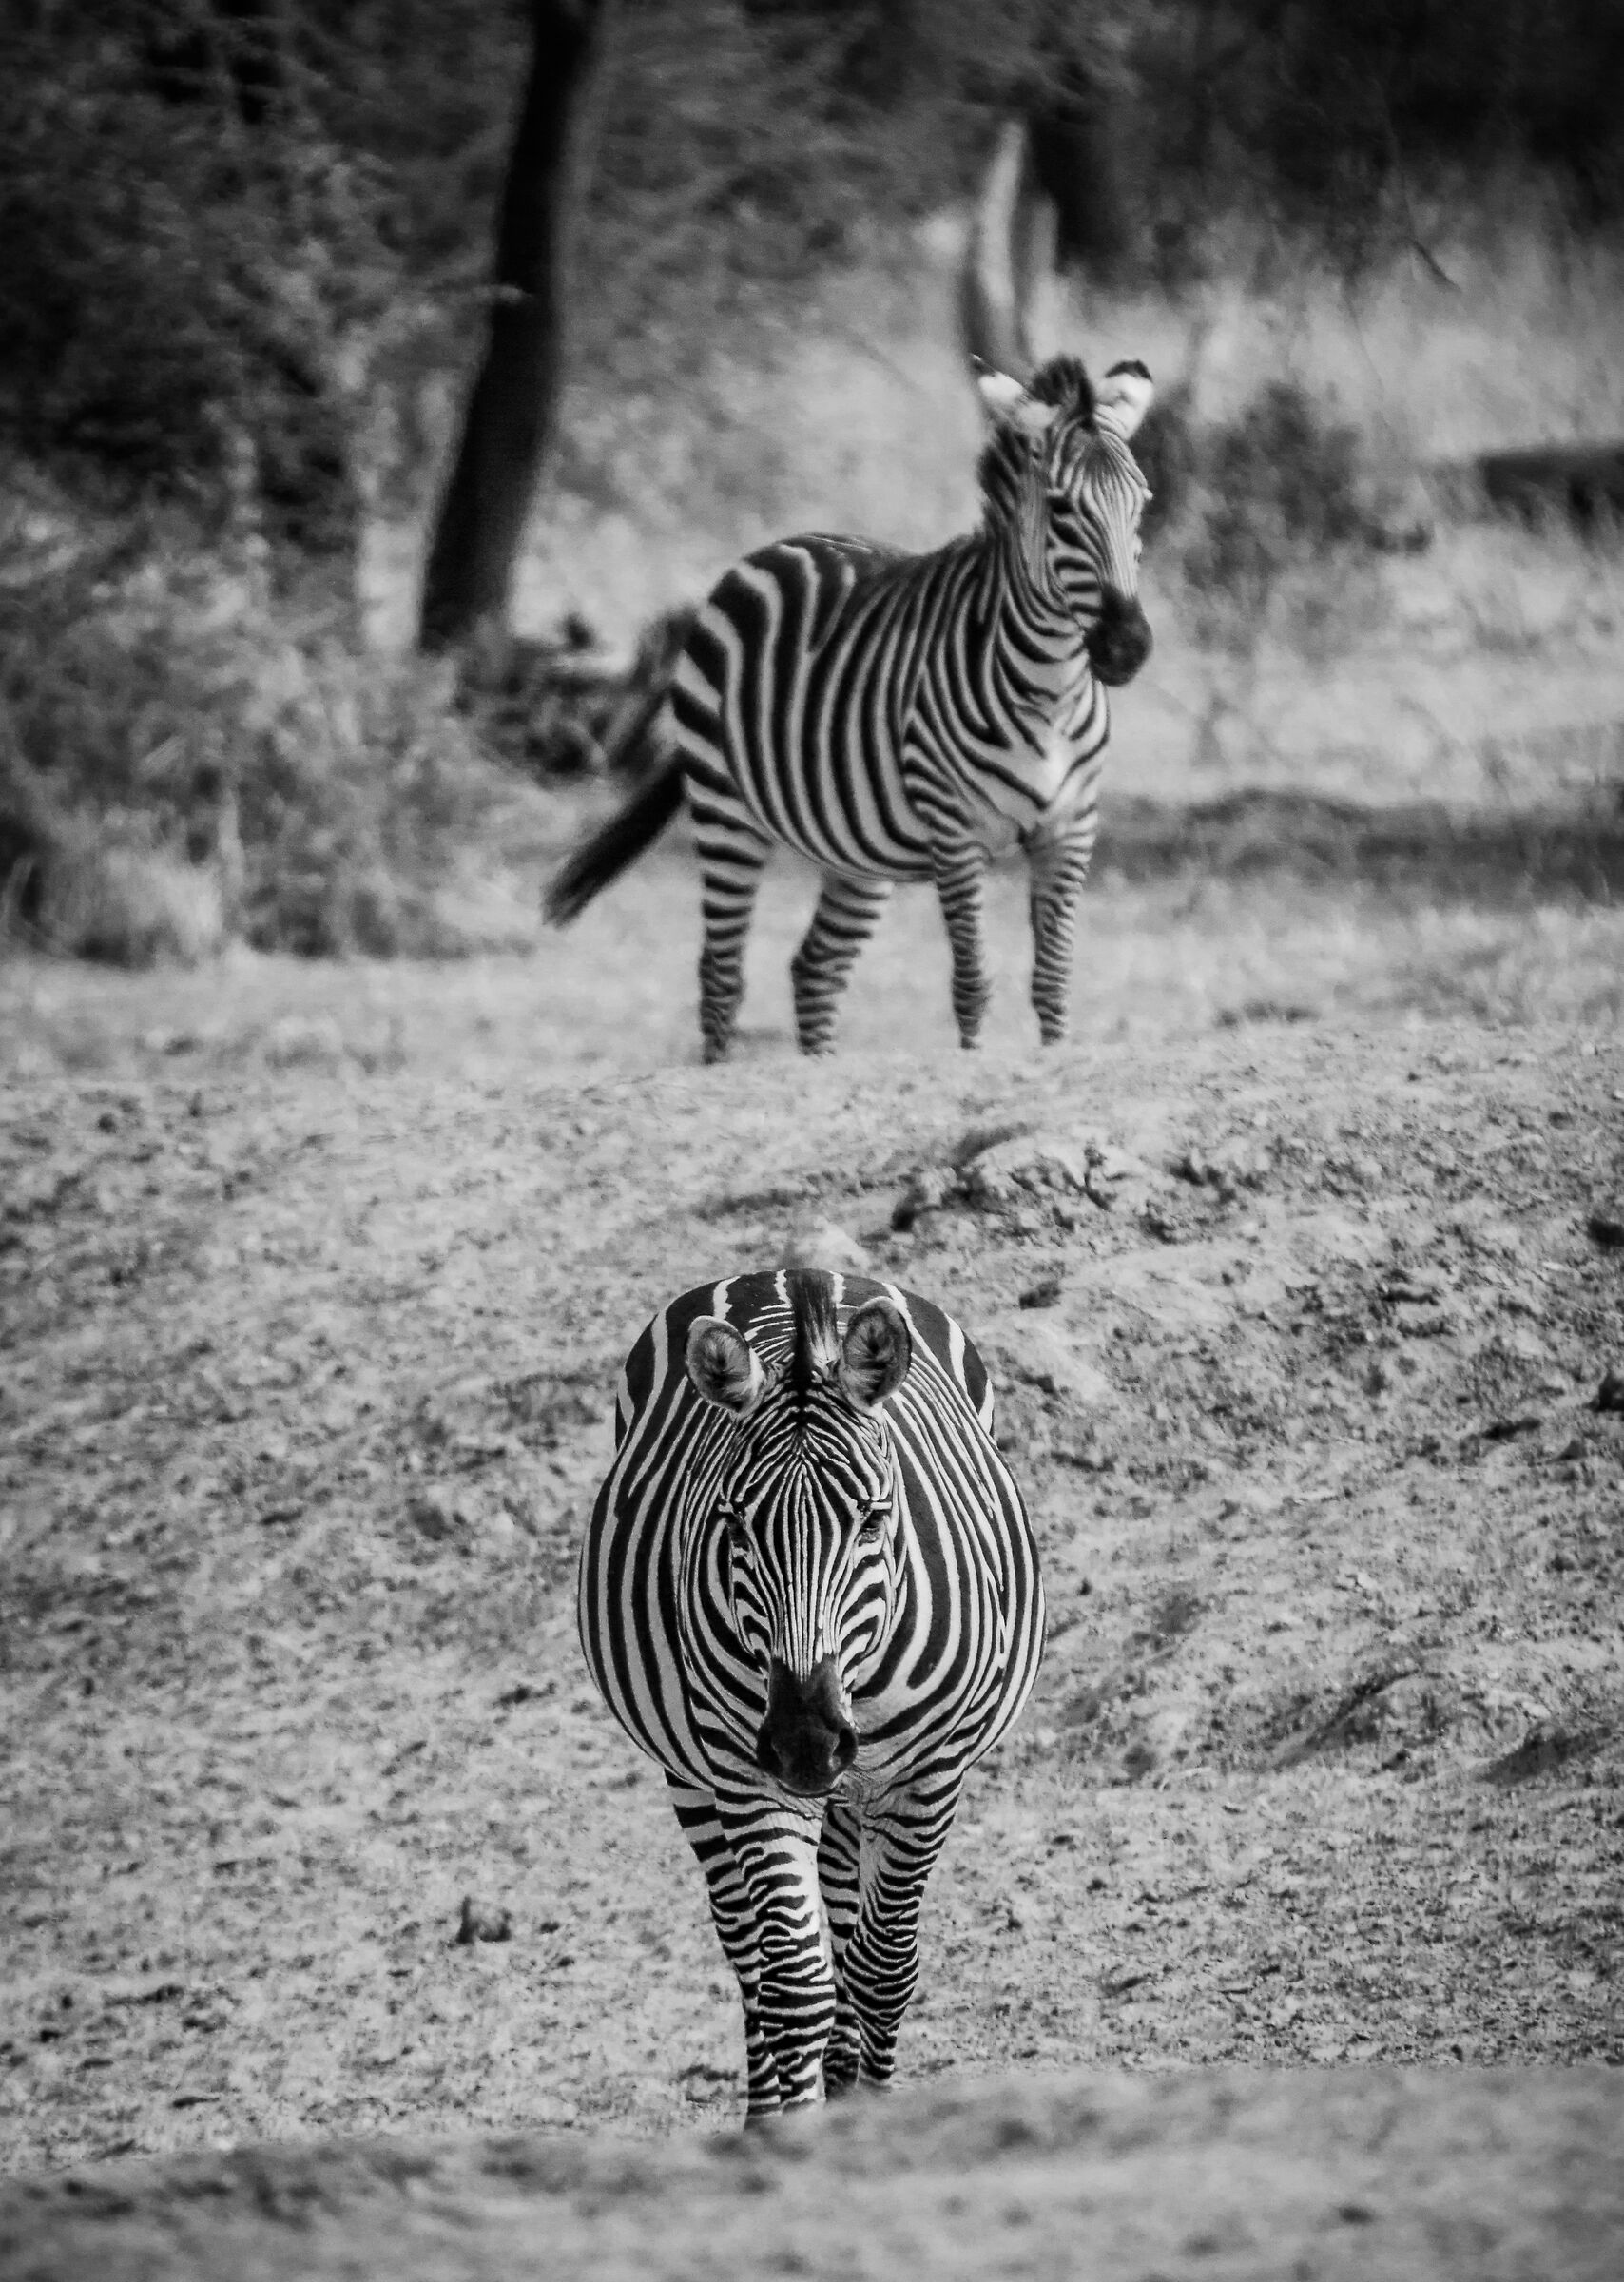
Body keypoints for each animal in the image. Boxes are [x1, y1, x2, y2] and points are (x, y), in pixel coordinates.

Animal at [545, 350, 1156, 1061]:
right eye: (1060, 509)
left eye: (1141, 502)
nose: (1127, 647)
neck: (1051, 688)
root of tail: (782, 545)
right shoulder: (955, 830)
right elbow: (973, 981)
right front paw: (973, 1058)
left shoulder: (1072, 829)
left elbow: (1053, 980)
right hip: (725, 812)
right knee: (722, 974)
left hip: (859, 848)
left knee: (814, 968)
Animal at [577, 1267, 1045, 2119]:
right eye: (732, 1524)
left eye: (873, 1520)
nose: (805, 1741)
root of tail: (787, 1274)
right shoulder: (745, 1773)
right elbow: (794, 1987)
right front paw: (792, 2123)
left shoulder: (930, 1775)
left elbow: (883, 1970)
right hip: (692, 1772)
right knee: (748, 1957)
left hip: (859, 1786)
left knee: (847, 1927)